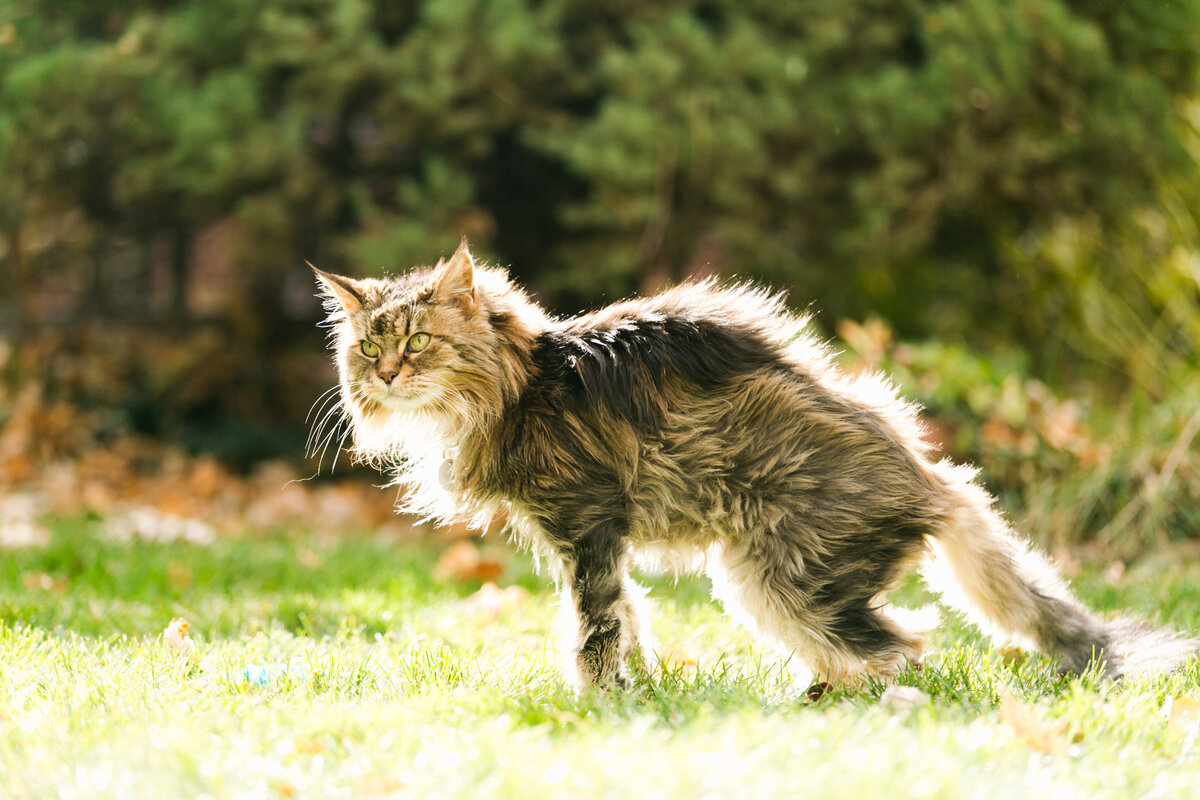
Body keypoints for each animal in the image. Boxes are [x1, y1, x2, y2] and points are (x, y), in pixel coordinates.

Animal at [312, 236, 1200, 690]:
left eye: (417, 342)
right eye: (367, 347)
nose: (386, 375)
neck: (523, 384)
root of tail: (931, 475)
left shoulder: (585, 525)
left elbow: (593, 628)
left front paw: (597, 703)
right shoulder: (603, 543)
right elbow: (632, 617)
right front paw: (643, 689)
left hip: (775, 574)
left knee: (907, 647)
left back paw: (840, 704)